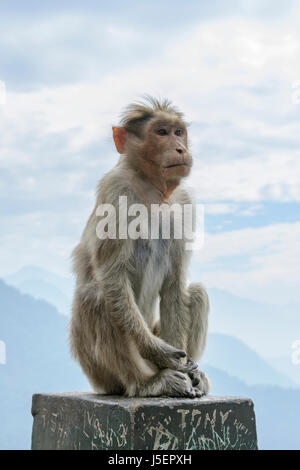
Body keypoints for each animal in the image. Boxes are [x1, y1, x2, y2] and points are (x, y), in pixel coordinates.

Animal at [69, 97, 210, 398]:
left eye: (178, 132)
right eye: (161, 132)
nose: (180, 148)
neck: (153, 189)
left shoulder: (183, 202)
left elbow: (175, 283)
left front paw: (188, 371)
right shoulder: (115, 190)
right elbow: (112, 277)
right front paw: (162, 353)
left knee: (196, 292)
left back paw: (195, 376)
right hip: (97, 371)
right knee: (97, 297)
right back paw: (150, 382)